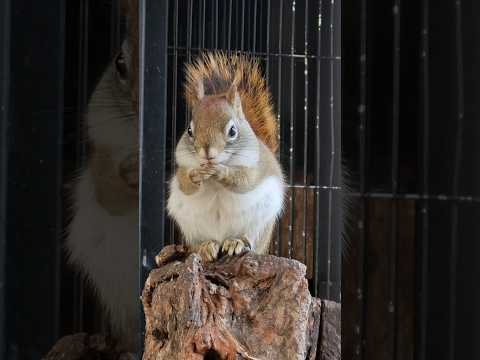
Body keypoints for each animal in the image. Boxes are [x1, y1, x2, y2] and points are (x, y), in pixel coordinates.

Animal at [168, 52, 284, 260]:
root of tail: (220, 238)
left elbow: (244, 181)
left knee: (250, 239)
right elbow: (185, 184)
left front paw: (221, 171)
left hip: (259, 224)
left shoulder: (255, 166)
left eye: (232, 131)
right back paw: (205, 246)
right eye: (189, 130)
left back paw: (236, 242)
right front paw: (195, 175)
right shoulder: (182, 165)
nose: (207, 154)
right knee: (200, 243)